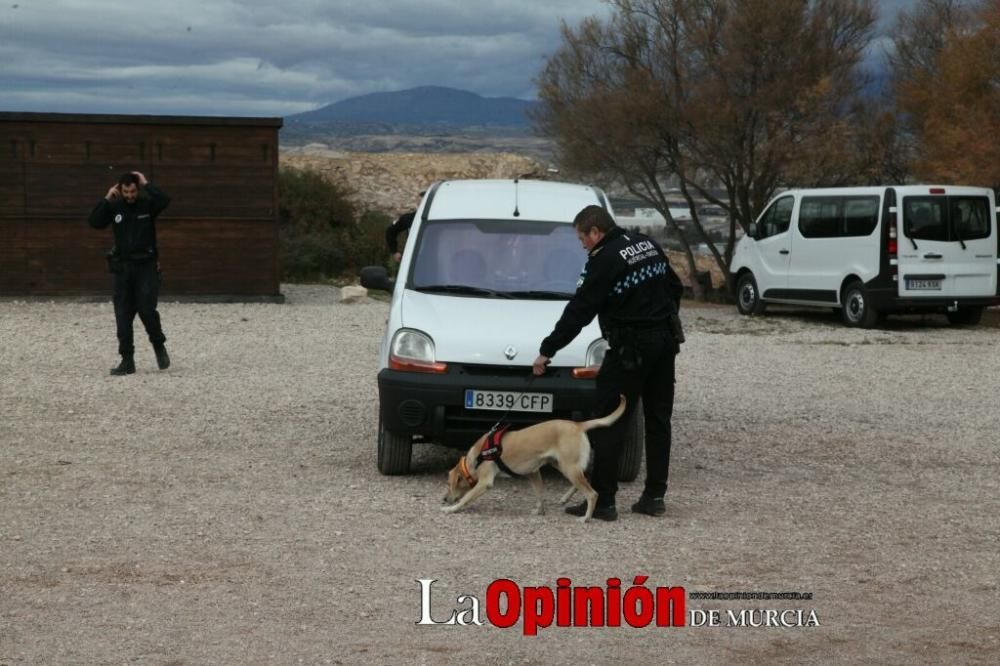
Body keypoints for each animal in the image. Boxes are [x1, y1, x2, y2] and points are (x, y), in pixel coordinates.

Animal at [440, 394, 624, 520]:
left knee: (592, 493)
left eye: (449, 484)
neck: (477, 456)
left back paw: (586, 517)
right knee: (583, 479)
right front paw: (540, 510)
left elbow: (466, 498)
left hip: (568, 467)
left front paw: (452, 509)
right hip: (562, 465)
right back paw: (565, 498)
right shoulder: (533, 473)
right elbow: (540, 494)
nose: (444, 499)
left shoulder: (485, 482)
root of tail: (578, 425)